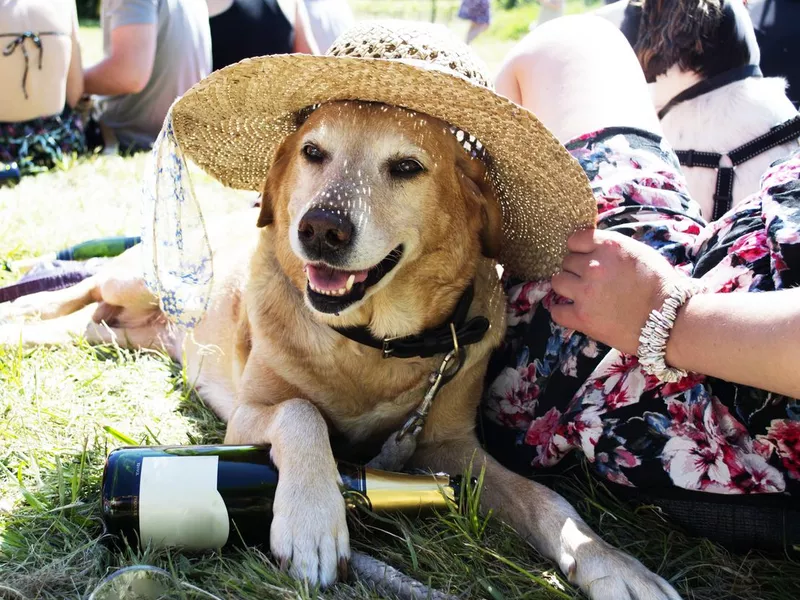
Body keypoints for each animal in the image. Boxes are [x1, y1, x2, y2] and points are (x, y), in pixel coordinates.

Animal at [0, 101, 680, 596]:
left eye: (406, 167)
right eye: (312, 151)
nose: (320, 229)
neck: (373, 344)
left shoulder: (451, 448)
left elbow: (546, 498)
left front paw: (616, 567)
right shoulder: (248, 417)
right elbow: (303, 415)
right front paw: (312, 524)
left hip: (130, 331)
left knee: (87, 324)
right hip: (146, 280)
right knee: (77, 291)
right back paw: (18, 315)